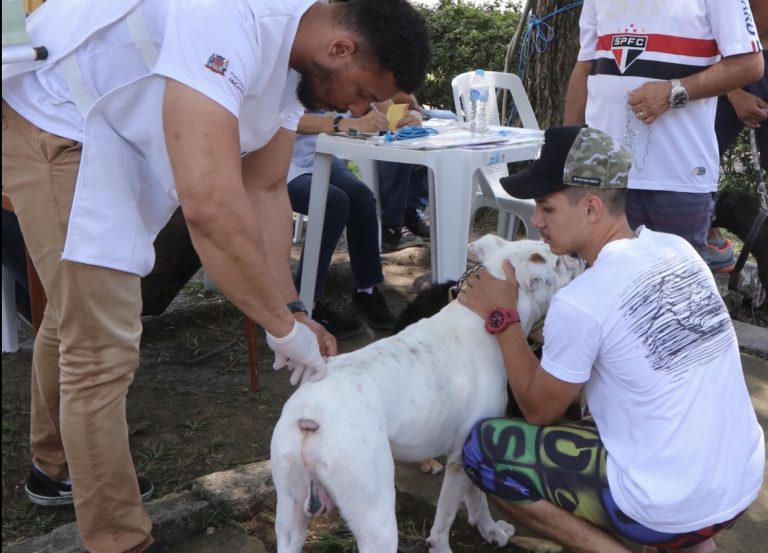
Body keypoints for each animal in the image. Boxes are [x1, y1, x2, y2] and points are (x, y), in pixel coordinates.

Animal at [270, 235, 584, 548]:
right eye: (558, 261)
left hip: (289, 515)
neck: (482, 316)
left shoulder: (468, 459)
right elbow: (446, 516)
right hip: (376, 521)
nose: (577, 254)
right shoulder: (459, 461)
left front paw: (491, 531)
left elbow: (477, 501)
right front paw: (442, 546)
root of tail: (310, 419)